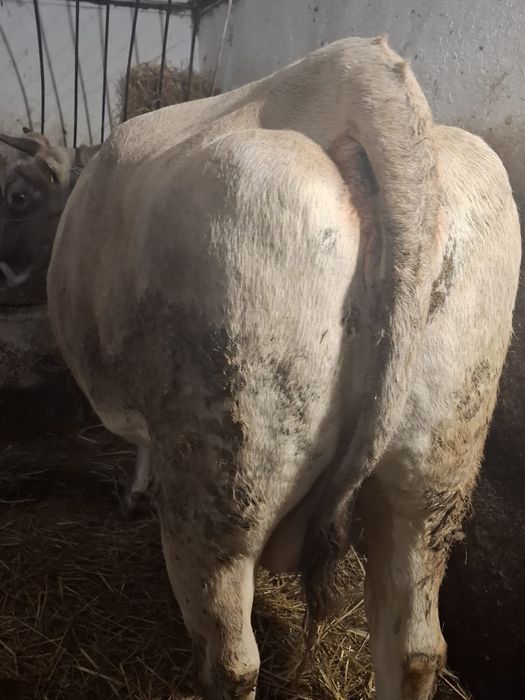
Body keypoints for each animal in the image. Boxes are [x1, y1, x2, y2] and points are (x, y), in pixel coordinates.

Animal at [46, 36, 521, 700]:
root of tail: (364, 79)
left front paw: (133, 494)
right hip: (435, 475)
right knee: (416, 645)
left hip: (223, 481)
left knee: (231, 658)